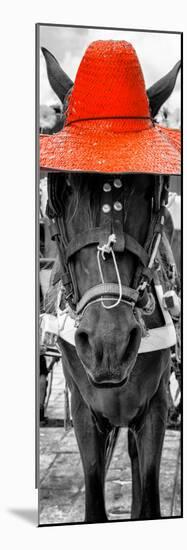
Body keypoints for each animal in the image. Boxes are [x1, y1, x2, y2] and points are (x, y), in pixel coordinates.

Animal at [40, 41, 180, 524]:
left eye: (153, 188)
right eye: (60, 186)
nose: (109, 344)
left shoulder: (154, 408)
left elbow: (148, 496)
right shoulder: (85, 410)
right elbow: (94, 502)